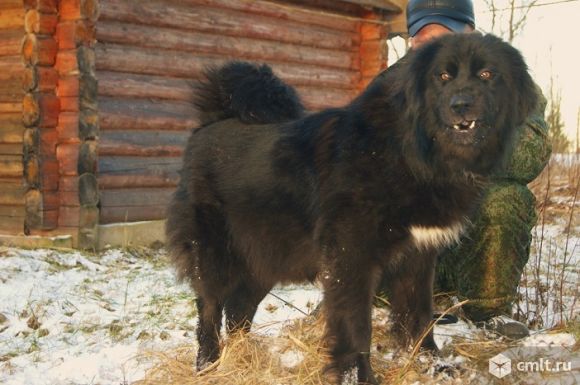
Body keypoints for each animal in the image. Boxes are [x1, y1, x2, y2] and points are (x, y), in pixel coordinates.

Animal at [165, 34, 536, 382]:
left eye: (487, 74)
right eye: (442, 76)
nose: (461, 104)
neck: (412, 152)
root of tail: (212, 121)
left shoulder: (418, 256)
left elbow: (418, 317)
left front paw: (432, 365)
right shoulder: (351, 257)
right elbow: (357, 326)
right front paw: (357, 377)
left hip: (268, 257)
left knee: (239, 308)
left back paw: (245, 358)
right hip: (216, 256)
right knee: (210, 310)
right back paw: (209, 365)